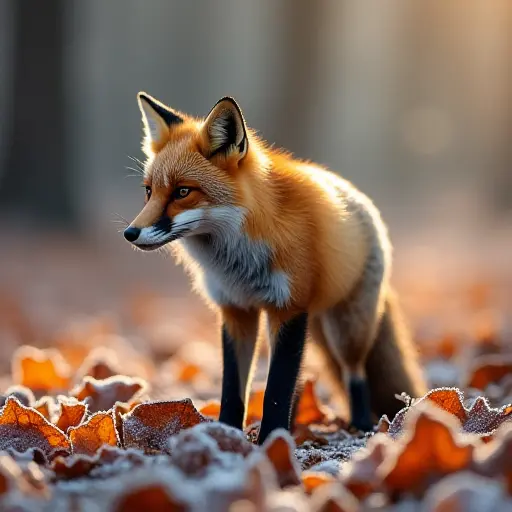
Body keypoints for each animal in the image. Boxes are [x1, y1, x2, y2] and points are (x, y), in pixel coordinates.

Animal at [124, 92, 428, 444]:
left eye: (182, 191)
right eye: (149, 191)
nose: (130, 233)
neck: (238, 260)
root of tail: (357, 195)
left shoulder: (289, 308)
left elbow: (276, 389)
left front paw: (271, 438)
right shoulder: (236, 309)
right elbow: (235, 387)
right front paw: (228, 433)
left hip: (346, 329)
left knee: (354, 371)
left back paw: (362, 424)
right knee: (302, 376)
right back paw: (296, 423)